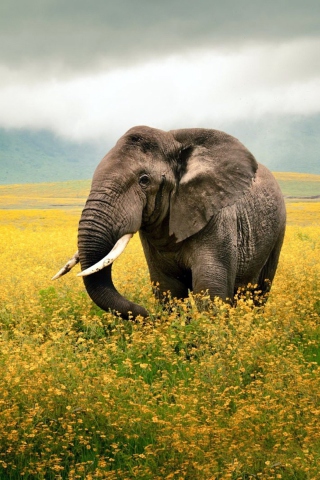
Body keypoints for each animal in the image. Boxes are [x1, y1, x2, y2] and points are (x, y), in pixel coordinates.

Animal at [53, 125, 286, 318]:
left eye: (144, 180)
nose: (146, 314)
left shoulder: (217, 218)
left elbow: (210, 290)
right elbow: (169, 289)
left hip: (278, 231)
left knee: (259, 291)